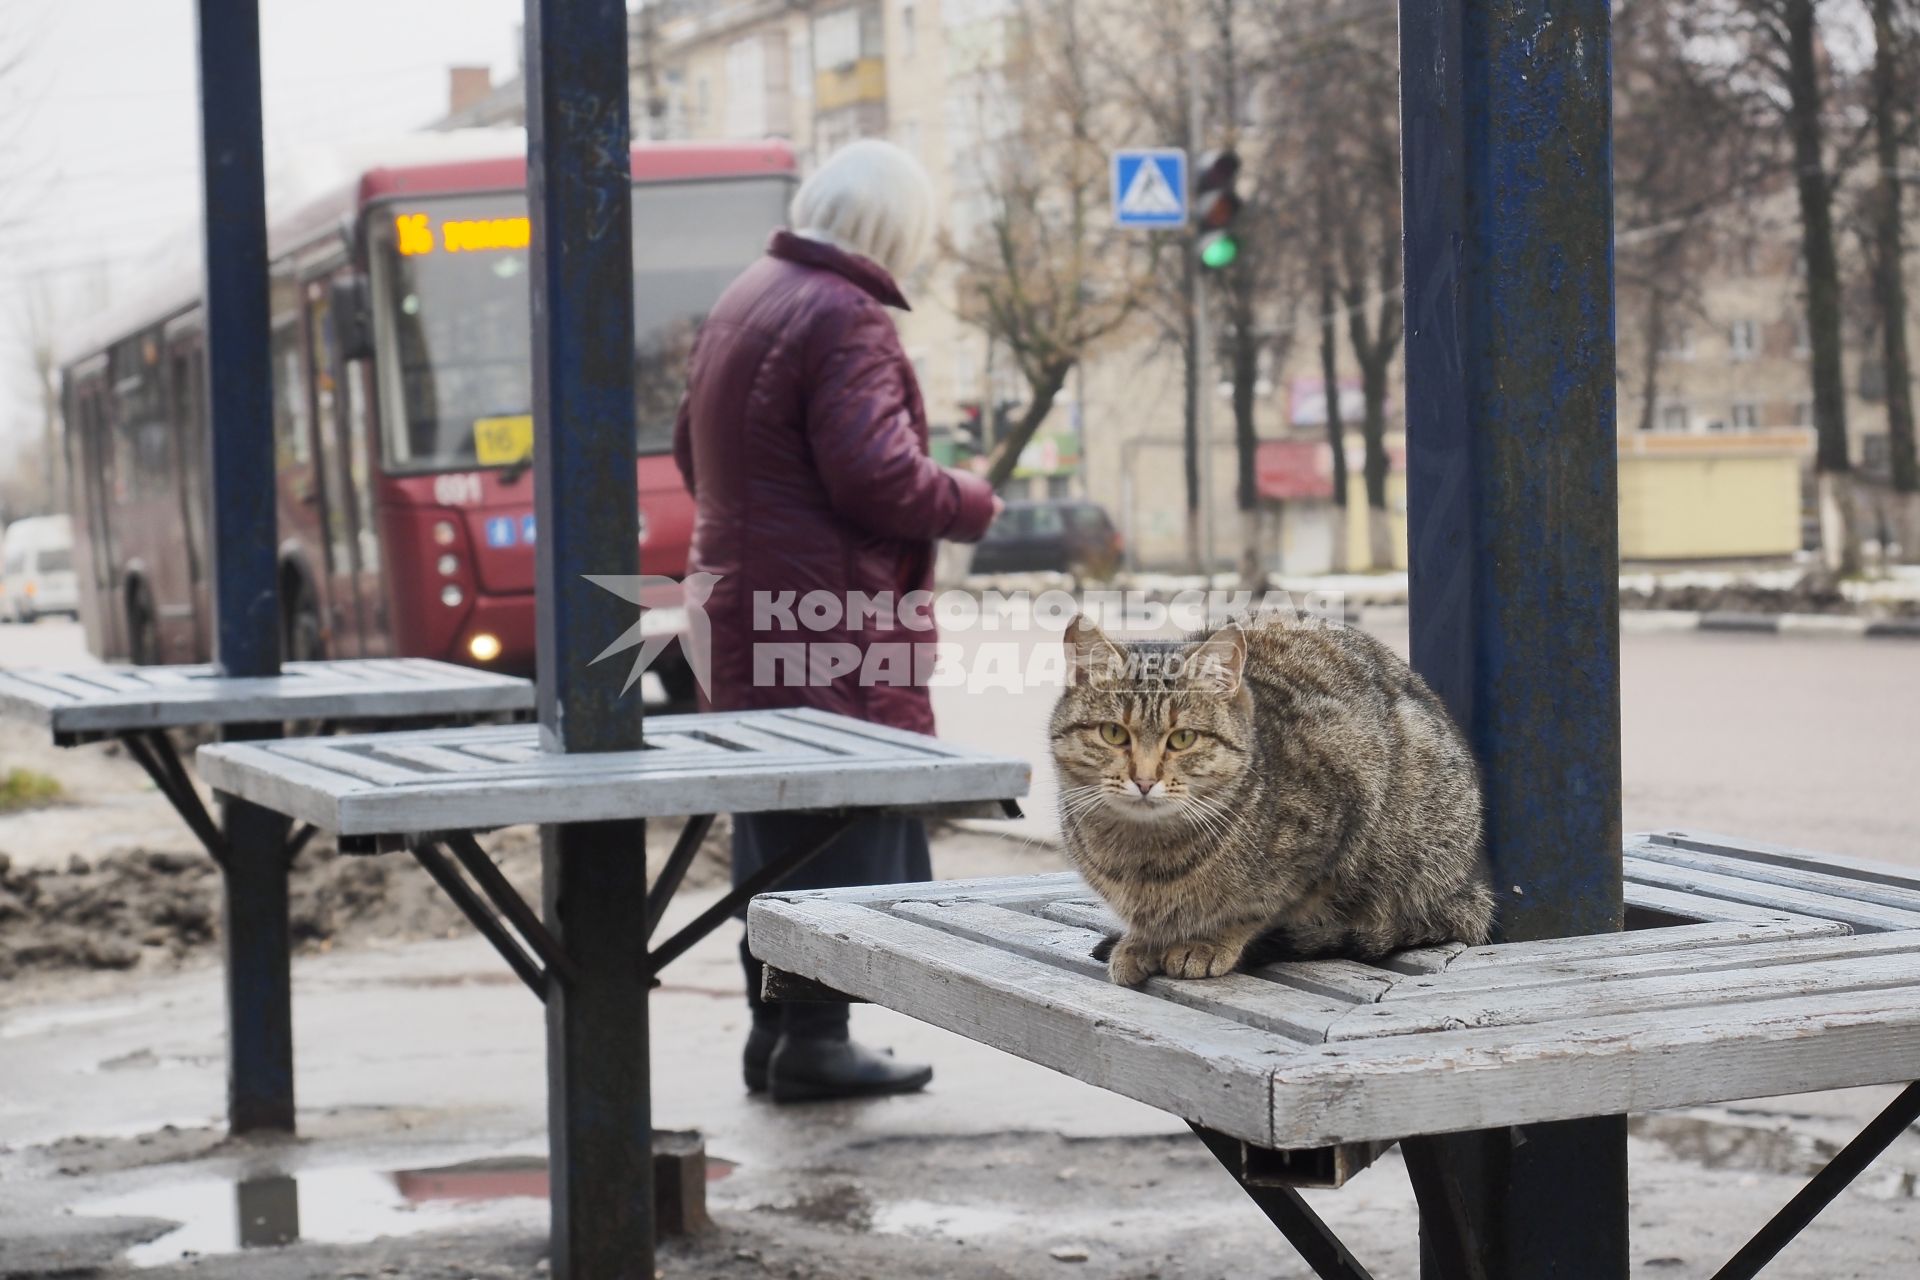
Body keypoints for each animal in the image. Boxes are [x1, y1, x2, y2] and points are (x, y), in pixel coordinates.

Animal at [1052, 614, 1482, 990]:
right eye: (1112, 733)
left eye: (1182, 739)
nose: (1143, 780)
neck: (1144, 854)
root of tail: (1467, 887)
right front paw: (1141, 941)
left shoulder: (1340, 816)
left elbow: (1256, 907)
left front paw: (1209, 941)